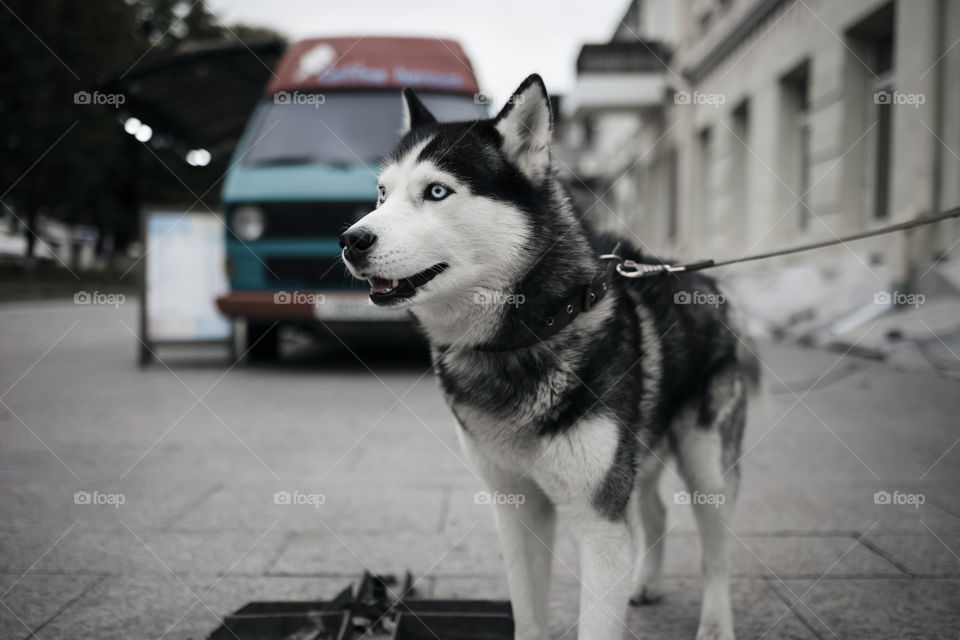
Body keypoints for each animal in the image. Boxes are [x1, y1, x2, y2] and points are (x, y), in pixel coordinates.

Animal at [342, 75, 760, 640]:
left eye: (436, 191)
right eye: (382, 194)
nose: (351, 239)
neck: (520, 340)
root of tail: (699, 277)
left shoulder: (598, 520)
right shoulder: (517, 507)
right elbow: (528, 611)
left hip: (705, 461)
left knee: (715, 553)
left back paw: (714, 623)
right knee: (653, 509)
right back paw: (645, 583)